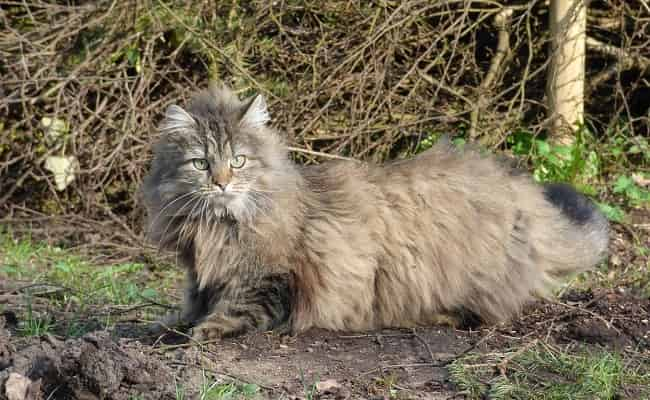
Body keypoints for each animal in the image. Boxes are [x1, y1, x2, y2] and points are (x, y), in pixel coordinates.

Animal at [140, 84, 608, 340]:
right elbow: (189, 304)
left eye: (237, 161)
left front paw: (204, 330)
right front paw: (164, 324)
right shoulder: (199, 274)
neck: (217, 226)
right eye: (201, 164)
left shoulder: (272, 279)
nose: (221, 183)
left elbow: (234, 308)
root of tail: (519, 192)